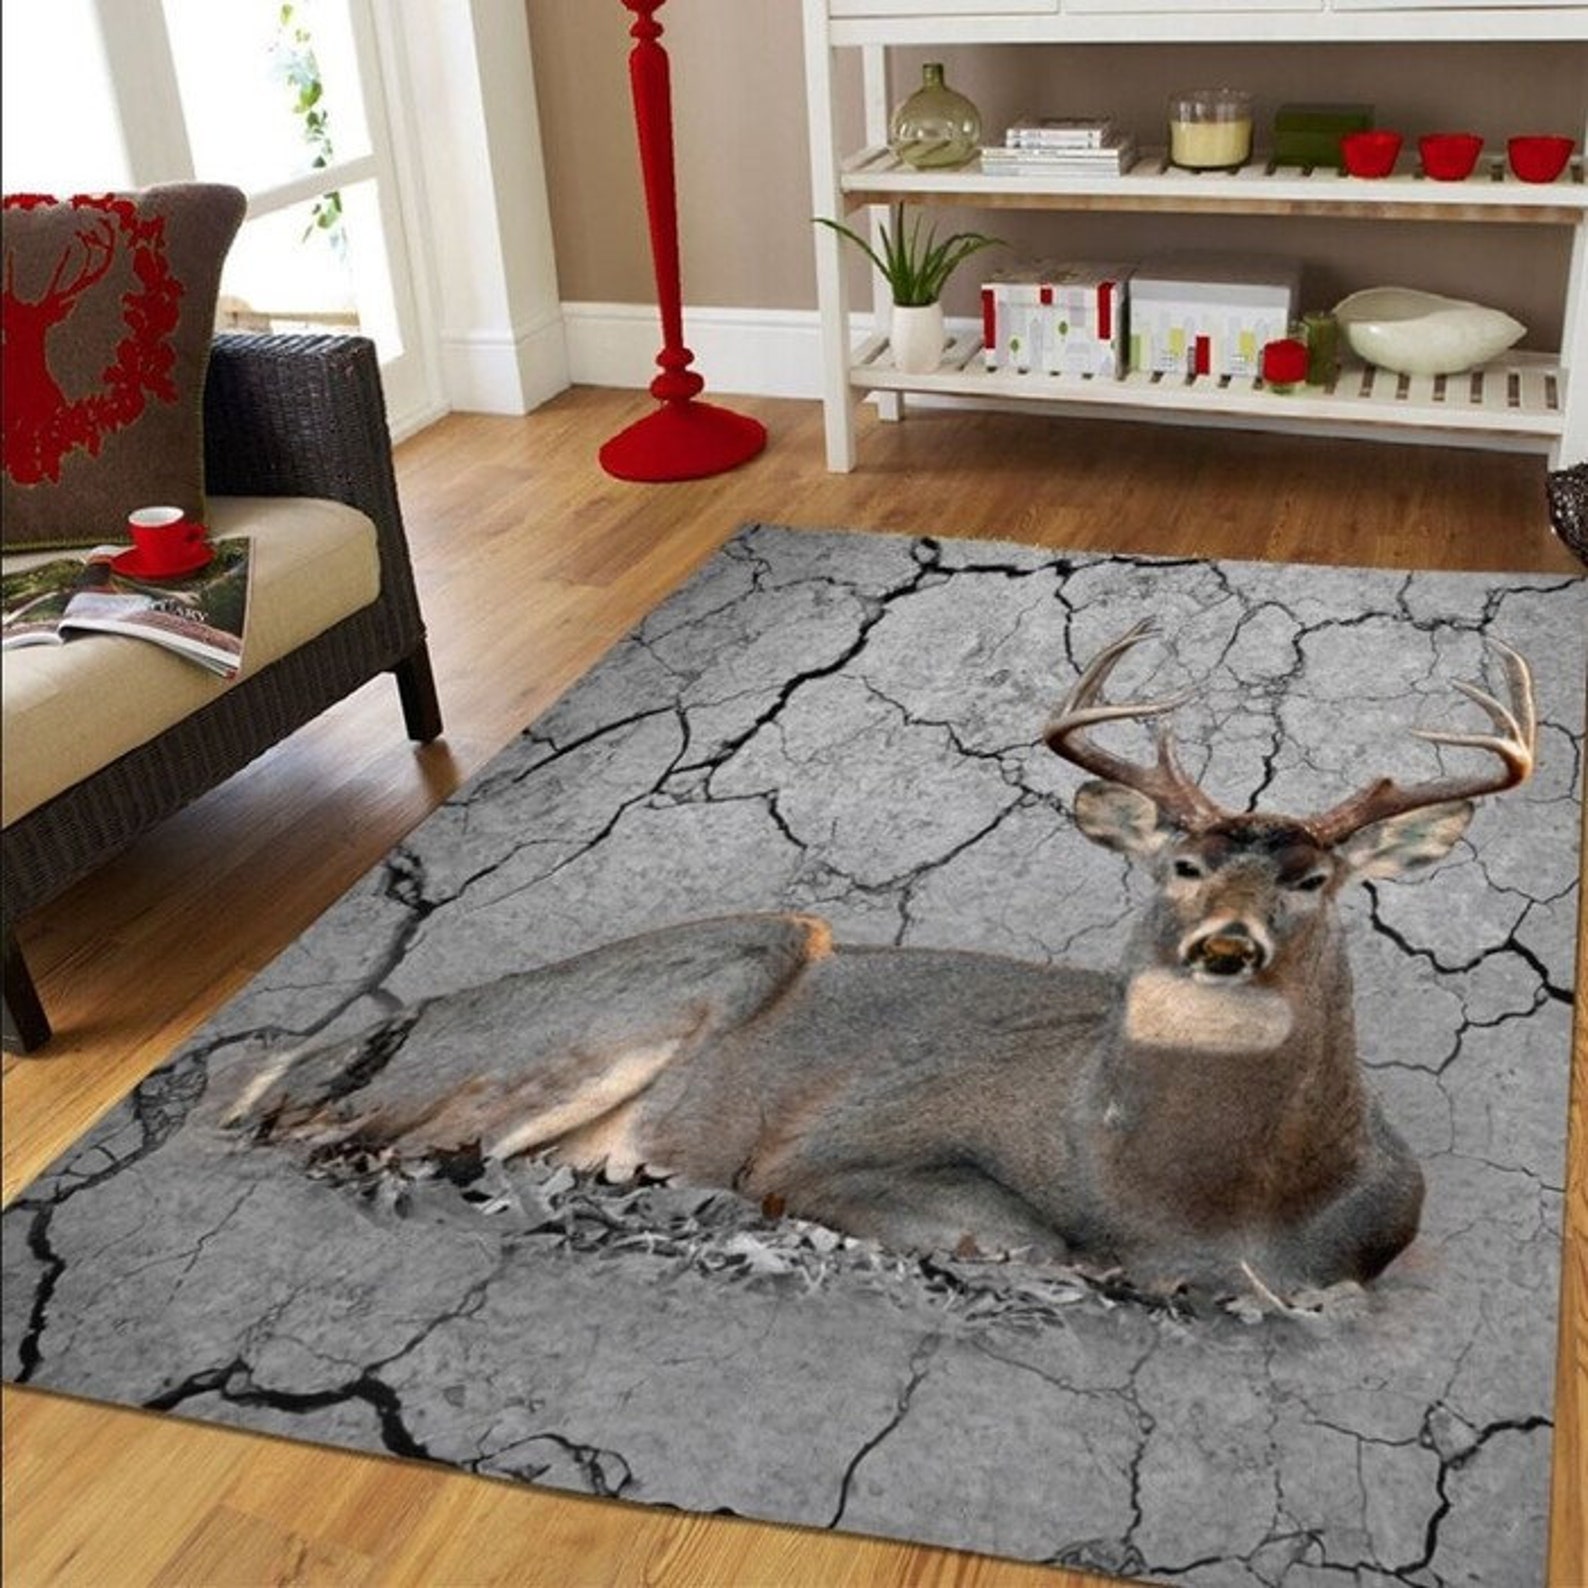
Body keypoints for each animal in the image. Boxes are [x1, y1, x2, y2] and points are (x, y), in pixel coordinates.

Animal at [216, 621, 1537, 1299]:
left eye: (1316, 881)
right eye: (1177, 864)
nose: (1224, 943)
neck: (1201, 1207)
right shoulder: (842, 1146)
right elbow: (1030, 1243)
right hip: (685, 973)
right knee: (387, 1139)